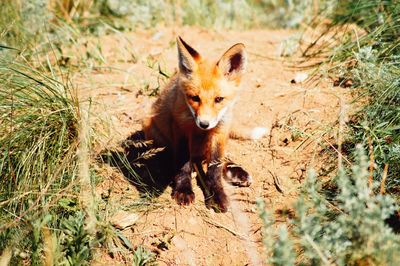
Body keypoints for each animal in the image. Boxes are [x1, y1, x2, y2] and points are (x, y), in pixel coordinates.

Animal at [142, 37, 268, 212]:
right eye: (195, 98)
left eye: (219, 99)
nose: (204, 123)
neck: (198, 131)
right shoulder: (181, 128)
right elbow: (183, 164)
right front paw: (184, 189)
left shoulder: (219, 130)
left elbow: (214, 168)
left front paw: (216, 194)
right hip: (154, 131)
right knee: (181, 156)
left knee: (210, 160)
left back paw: (233, 171)